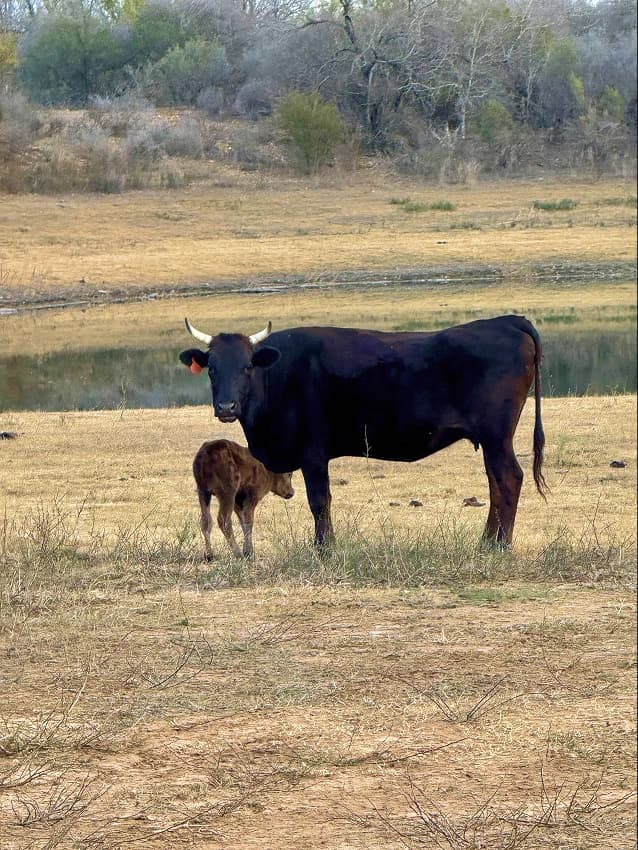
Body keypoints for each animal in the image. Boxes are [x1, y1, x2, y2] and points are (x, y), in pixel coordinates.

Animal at [180, 316, 547, 548]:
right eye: (212, 369)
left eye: (247, 367)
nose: (226, 407)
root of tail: (507, 320)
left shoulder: (313, 453)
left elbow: (320, 501)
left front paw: (323, 548)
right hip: (491, 440)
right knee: (496, 482)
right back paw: (486, 542)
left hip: (497, 436)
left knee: (508, 478)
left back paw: (500, 545)